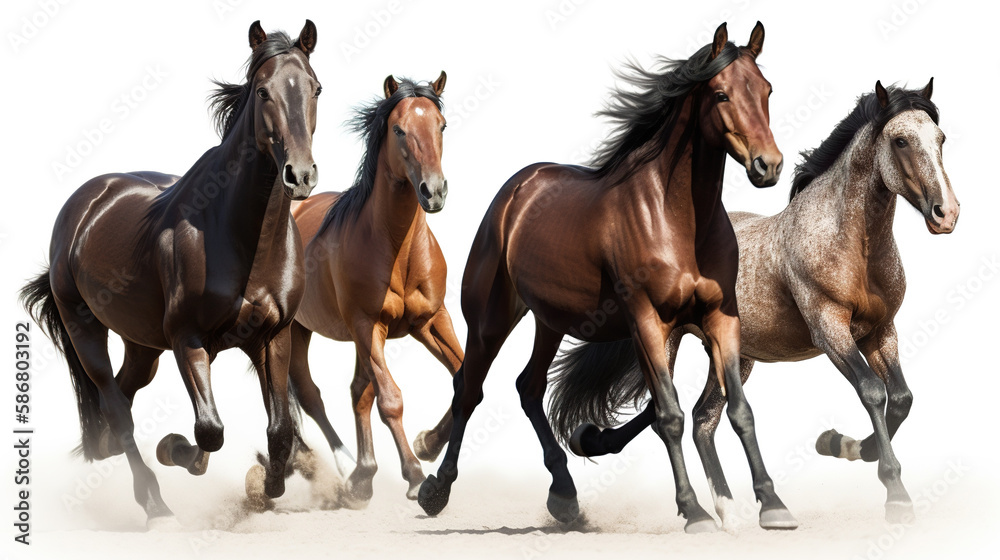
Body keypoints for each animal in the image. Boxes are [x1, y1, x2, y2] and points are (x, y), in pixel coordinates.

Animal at [19, 20, 321, 526]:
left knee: (120, 402)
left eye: (315, 88)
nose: (299, 176)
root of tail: (87, 201)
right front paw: (174, 449)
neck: (242, 237)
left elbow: (279, 429)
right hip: (86, 331)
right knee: (117, 409)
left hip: (142, 347)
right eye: (263, 91)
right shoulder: (188, 339)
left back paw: (105, 452)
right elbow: (209, 430)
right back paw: (154, 504)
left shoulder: (272, 337)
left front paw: (267, 487)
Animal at [283, 73, 460, 507]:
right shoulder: (368, 325)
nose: (434, 191)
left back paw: (363, 473)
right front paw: (416, 475)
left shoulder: (431, 320)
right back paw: (348, 469)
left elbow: (463, 377)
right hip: (296, 330)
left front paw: (428, 443)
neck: (397, 250)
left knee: (354, 392)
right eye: (398, 130)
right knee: (310, 393)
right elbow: (390, 400)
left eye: (441, 125)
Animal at [417, 22, 796, 533]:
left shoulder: (721, 317)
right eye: (720, 94)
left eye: (767, 90)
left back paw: (564, 495)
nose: (767, 165)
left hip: (549, 321)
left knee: (528, 387)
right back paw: (436, 489)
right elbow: (669, 415)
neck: (677, 219)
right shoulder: (646, 322)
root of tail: (516, 190)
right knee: (468, 389)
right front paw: (694, 511)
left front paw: (772, 504)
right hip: (490, 321)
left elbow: (739, 410)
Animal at [557, 79, 957, 526]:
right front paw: (895, 494)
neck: (851, 243)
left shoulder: (880, 331)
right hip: (667, 340)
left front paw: (840, 444)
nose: (947, 214)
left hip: (735, 356)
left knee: (703, 418)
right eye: (900, 140)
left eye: (940, 138)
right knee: (668, 416)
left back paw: (729, 510)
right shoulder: (830, 328)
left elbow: (901, 398)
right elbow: (872, 391)